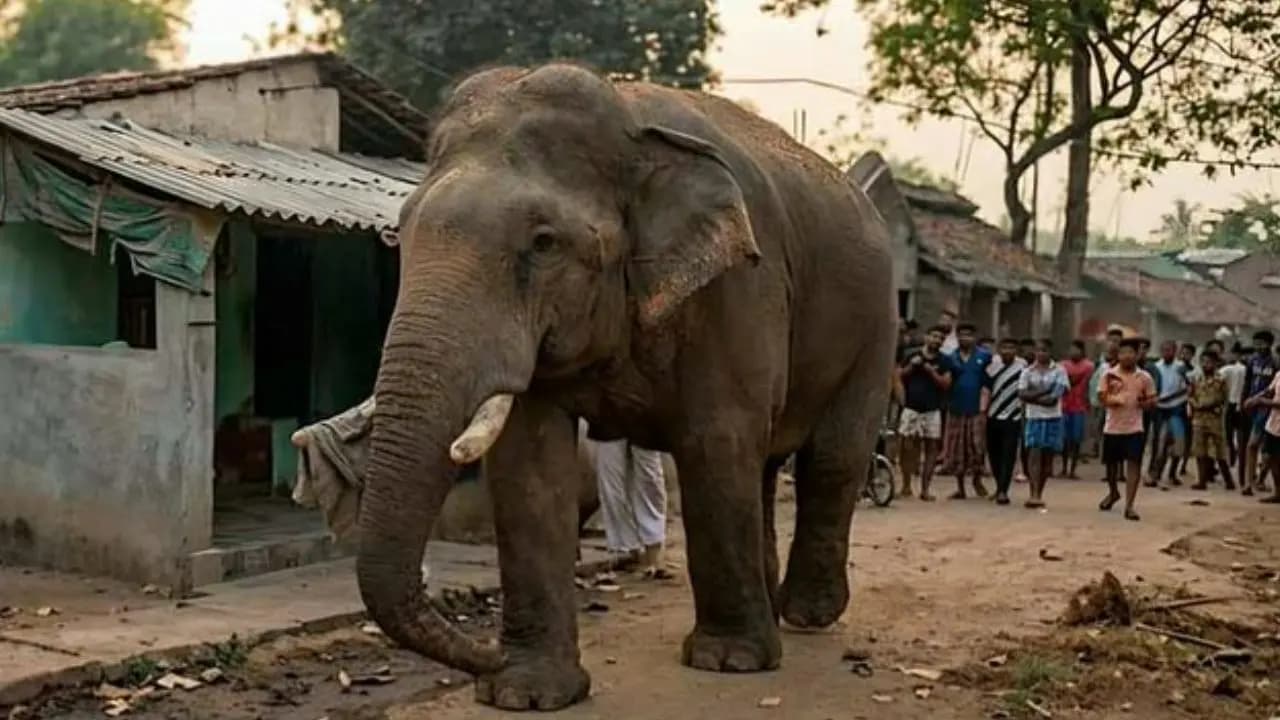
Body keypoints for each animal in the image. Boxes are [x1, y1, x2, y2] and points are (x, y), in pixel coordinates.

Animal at [359, 63, 896, 711]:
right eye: (401, 233)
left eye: (544, 243)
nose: (485, 654)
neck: (631, 125)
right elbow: (528, 463)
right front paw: (526, 693)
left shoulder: (741, 284)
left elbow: (716, 441)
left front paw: (729, 662)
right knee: (766, 465)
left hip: (876, 325)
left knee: (831, 459)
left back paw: (806, 616)